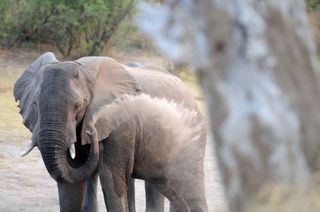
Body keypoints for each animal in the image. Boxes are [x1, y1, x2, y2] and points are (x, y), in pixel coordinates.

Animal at [13, 51, 205, 212]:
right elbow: (69, 182)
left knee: (191, 188)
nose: (92, 133)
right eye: (35, 104)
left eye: (77, 106)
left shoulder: (121, 124)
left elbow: (111, 179)